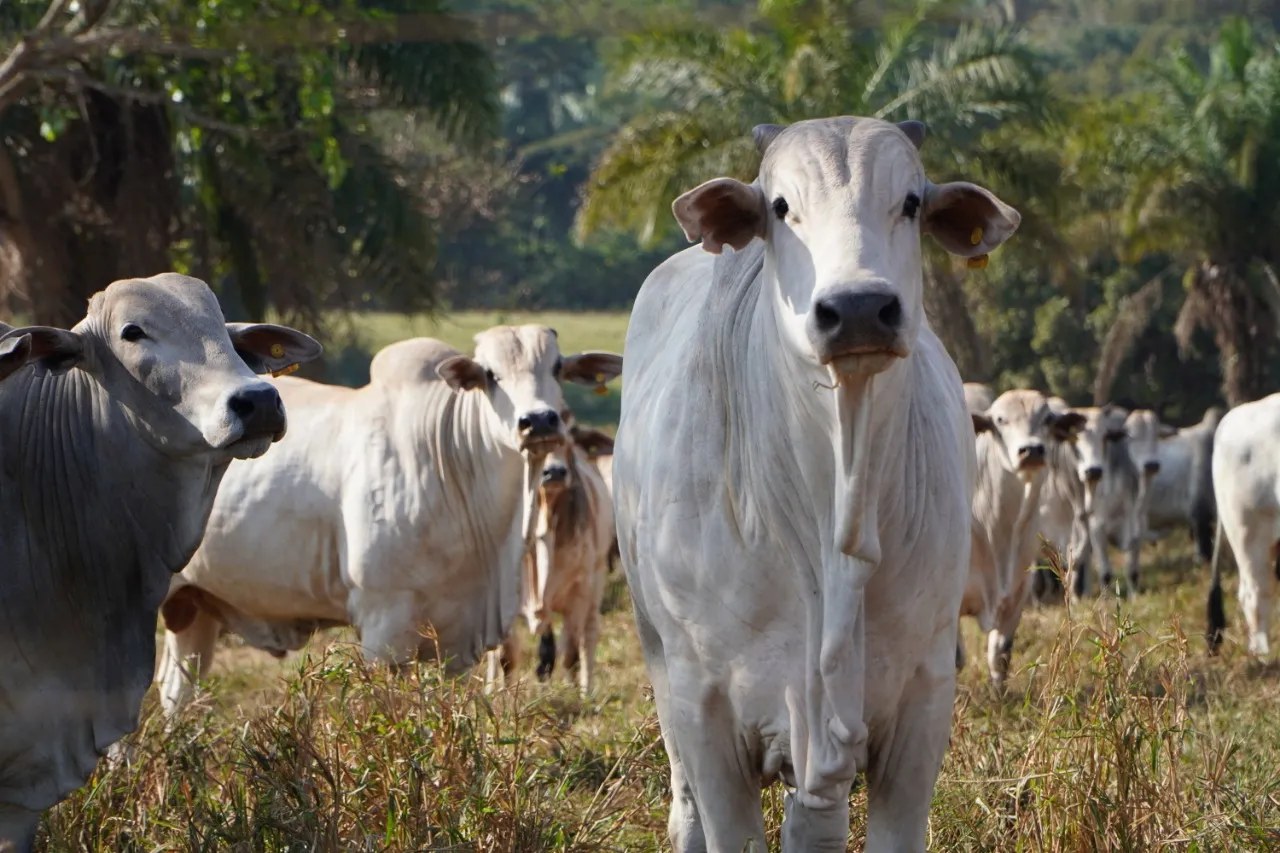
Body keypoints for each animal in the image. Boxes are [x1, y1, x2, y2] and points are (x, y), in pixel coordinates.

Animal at [158, 325, 619, 712]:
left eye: (557, 367)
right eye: (490, 374)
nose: (538, 421)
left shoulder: (457, 642)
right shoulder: (383, 630)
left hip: (194, 607)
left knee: (177, 692)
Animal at [611, 116, 1018, 845]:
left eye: (911, 201)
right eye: (780, 205)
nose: (858, 307)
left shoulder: (923, 696)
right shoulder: (704, 707)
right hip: (657, 658)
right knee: (685, 812)